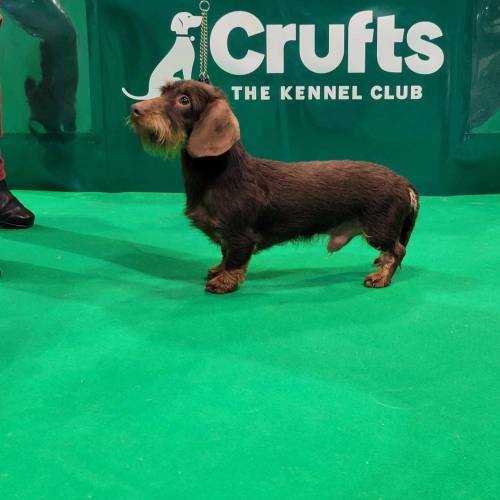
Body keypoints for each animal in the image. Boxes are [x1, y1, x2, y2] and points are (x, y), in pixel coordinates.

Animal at [128, 81, 419, 294]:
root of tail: (404, 183)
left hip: (378, 229)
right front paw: (217, 269)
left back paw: (380, 277)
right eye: (163, 92)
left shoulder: (240, 235)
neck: (219, 173)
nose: (135, 109)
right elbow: (224, 254)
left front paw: (223, 281)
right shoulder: (226, 236)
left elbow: (235, 259)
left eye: (184, 100)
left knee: (397, 250)